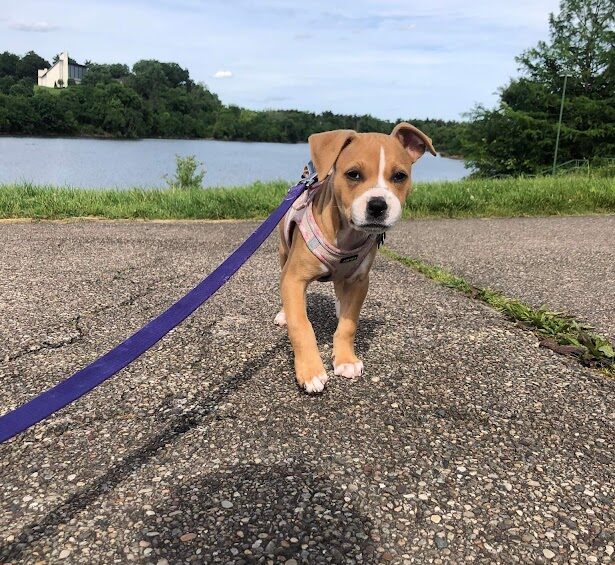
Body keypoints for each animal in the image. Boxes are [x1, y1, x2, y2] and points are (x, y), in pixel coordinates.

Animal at [276, 122, 436, 392]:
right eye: (353, 174)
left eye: (400, 176)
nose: (378, 205)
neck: (346, 236)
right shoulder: (294, 278)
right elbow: (301, 325)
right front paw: (310, 371)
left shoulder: (360, 281)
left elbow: (349, 325)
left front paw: (346, 360)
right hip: (283, 253)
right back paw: (284, 314)